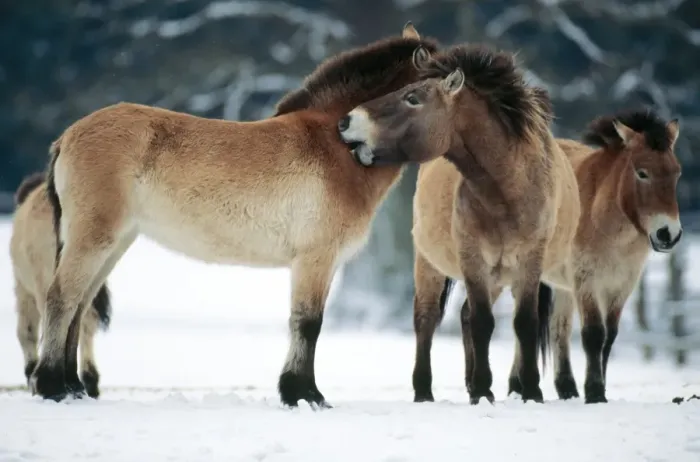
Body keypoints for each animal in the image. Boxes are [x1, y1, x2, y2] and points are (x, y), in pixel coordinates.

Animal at [29, 23, 440, 406]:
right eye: (416, 95)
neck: (336, 144)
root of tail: (68, 136)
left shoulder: (325, 263)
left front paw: (300, 391)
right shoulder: (315, 260)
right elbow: (308, 323)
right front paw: (305, 394)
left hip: (114, 242)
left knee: (80, 306)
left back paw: (72, 387)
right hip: (94, 238)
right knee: (62, 298)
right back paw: (51, 386)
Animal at [338, 43, 581, 404]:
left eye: (413, 98)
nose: (345, 121)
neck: (507, 192)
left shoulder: (529, 262)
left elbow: (523, 322)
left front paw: (530, 391)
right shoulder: (473, 258)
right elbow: (482, 322)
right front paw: (481, 389)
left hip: (500, 276)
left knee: (466, 314)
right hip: (430, 265)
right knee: (427, 319)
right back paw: (425, 391)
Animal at [519, 109, 682, 404]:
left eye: (677, 173)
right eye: (642, 173)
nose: (668, 234)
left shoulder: (621, 285)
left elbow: (609, 337)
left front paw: (599, 388)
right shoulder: (587, 280)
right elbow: (594, 334)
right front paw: (594, 392)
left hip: (560, 286)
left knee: (559, 328)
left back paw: (566, 389)